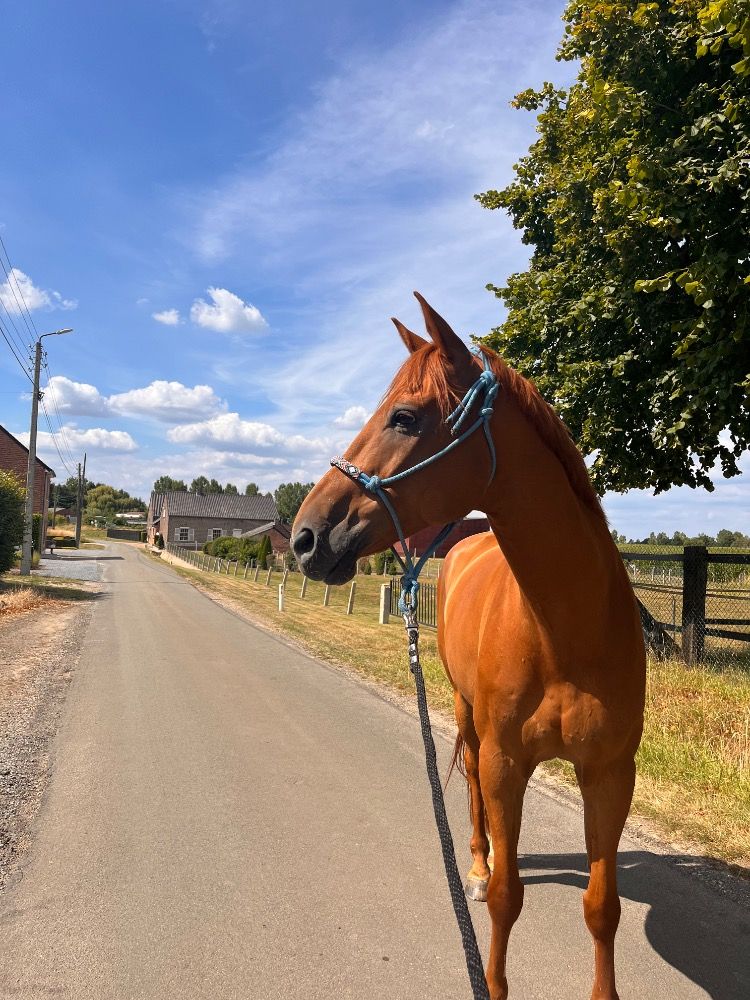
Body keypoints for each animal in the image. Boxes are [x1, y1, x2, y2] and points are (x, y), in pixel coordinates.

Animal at [292, 293, 646, 1000]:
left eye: (404, 417)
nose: (305, 536)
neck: (567, 632)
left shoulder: (610, 773)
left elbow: (601, 907)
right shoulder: (507, 762)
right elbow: (508, 897)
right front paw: (492, 966)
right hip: (466, 717)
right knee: (477, 797)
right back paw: (477, 866)